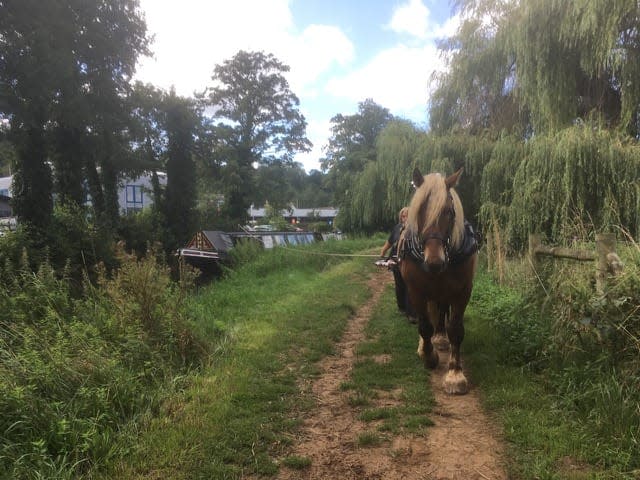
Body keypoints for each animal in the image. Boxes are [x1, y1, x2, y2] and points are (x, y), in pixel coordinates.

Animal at [400, 168, 476, 394]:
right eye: (418, 211)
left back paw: (441, 337)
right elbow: (425, 326)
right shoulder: (416, 290)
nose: (434, 262)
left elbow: (456, 330)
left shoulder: (462, 291)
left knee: (441, 312)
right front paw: (429, 356)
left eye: (449, 212)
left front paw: (455, 374)